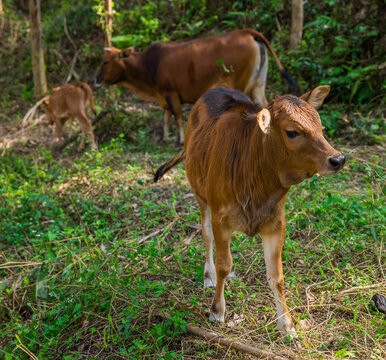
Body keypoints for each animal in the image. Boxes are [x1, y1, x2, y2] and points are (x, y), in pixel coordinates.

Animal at [93, 29, 298, 145]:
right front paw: (165, 138)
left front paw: (180, 140)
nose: (95, 80)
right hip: (258, 85)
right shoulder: (163, 95)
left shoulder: (172, 93)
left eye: (105, 62)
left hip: (240, 85)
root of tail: (247, 33)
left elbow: (177, 117)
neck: (149, 66)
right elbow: (166, 117)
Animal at [155, 85, 346, 334]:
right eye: (292, 132)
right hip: (201, 197)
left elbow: (276, 276)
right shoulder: (220, 217)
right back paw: (209, 275)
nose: (338, 159)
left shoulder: (275, 222)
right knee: (207, 236)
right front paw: (217, 311)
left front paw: (286, 324)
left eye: (319, 125)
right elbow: (223, 264)